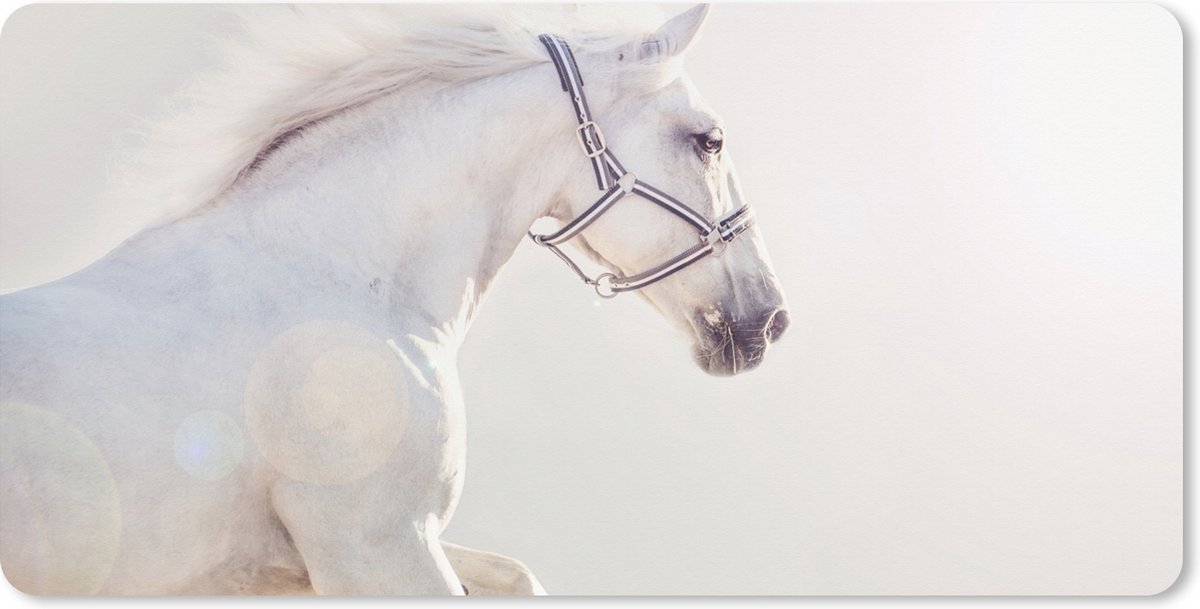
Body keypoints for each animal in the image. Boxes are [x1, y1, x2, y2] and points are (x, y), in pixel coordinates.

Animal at [0, 4, 788, 595]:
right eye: (710, 140)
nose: (772, 319)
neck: (335, 279)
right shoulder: (380, 548)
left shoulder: (308, 562)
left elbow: (518, 576)